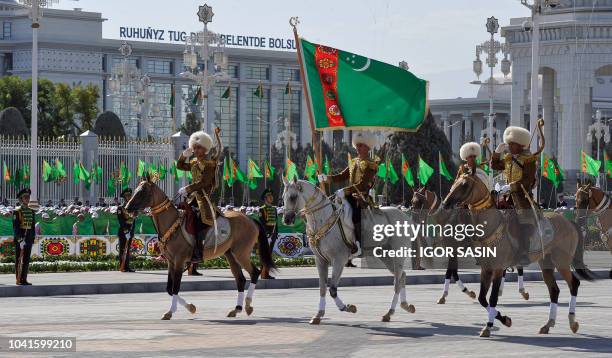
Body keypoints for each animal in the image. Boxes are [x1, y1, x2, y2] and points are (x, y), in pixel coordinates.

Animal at [125, 175, 276, 320]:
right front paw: (191, 307)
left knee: (254, 273)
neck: (172, 223)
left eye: (142, 191)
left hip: (241, 253)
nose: (127, 208)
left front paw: (171, 312)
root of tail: (251, 220)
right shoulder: (170, 261)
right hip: (230, 254)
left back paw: (248, 305)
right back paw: (236, 309)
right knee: (240, 279)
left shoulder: (179, 260)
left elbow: (175, 287)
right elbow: (169, 288)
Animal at [280, 178, 416, 324]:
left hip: (397, 254)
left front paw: (348, 308)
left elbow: (332, 289)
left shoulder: (339, 260)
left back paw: (389, 312)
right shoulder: (320, 260)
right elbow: (322, 287)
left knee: (397, 281)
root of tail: (404, 216)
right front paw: (318, 315)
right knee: (402, 276)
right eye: (283, 197)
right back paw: (405, 306)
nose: (286, 219)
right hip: (384, 255)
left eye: (293, 197)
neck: (323, 219)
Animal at [440, 175, 592, 338]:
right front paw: (504, 319)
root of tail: (569, 222)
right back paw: (548, 324)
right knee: (554, 290)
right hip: (546, 262)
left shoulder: (498, 268)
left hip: (561, 261)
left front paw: (489, 326)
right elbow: (482, 298)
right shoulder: (485, 268)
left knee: (574, 284)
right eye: (454, 182)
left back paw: (572, 322)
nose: (445, 204)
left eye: (464, 184)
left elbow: (492, 297)